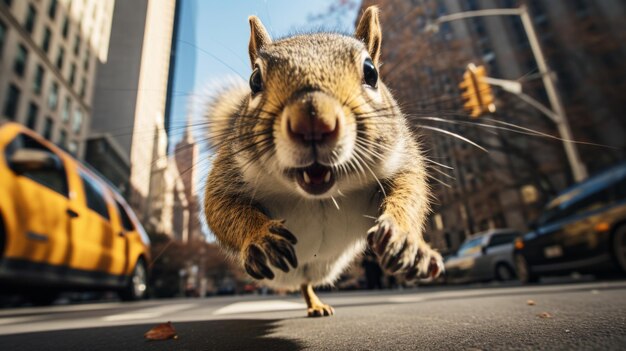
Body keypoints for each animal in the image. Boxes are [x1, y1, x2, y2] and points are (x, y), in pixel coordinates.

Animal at [202, 6, 442, 320]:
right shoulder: (229, 171)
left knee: (306, 282)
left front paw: (405, 240)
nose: (312, 121)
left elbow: (410, 191)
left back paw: (316, 304)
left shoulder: (399, 159)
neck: (320, 195)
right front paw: (261, 237)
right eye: (255, 79)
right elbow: (220, 208)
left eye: (371, 72)